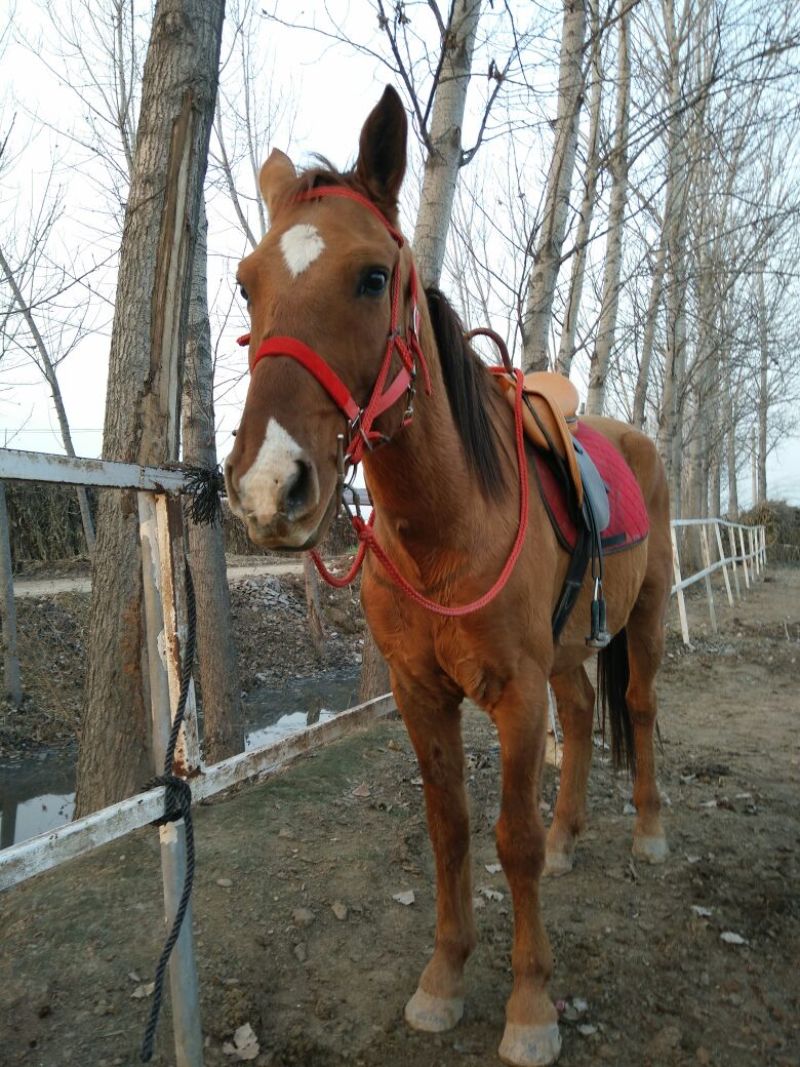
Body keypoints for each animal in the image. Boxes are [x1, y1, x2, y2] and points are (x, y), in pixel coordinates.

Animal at [224, 86, 672, 1067]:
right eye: (246, 282)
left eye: (369, 278)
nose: (271, 486)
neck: (446, 524)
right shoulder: (421, 694)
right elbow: (451, 829)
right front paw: (443, 977)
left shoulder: (512, 694)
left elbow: (510, 837)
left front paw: (530, 1005)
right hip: (567, 654)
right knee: (585, 712)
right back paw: (574, 835)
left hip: (647, 619)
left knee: (640, 708)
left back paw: (648, 832)